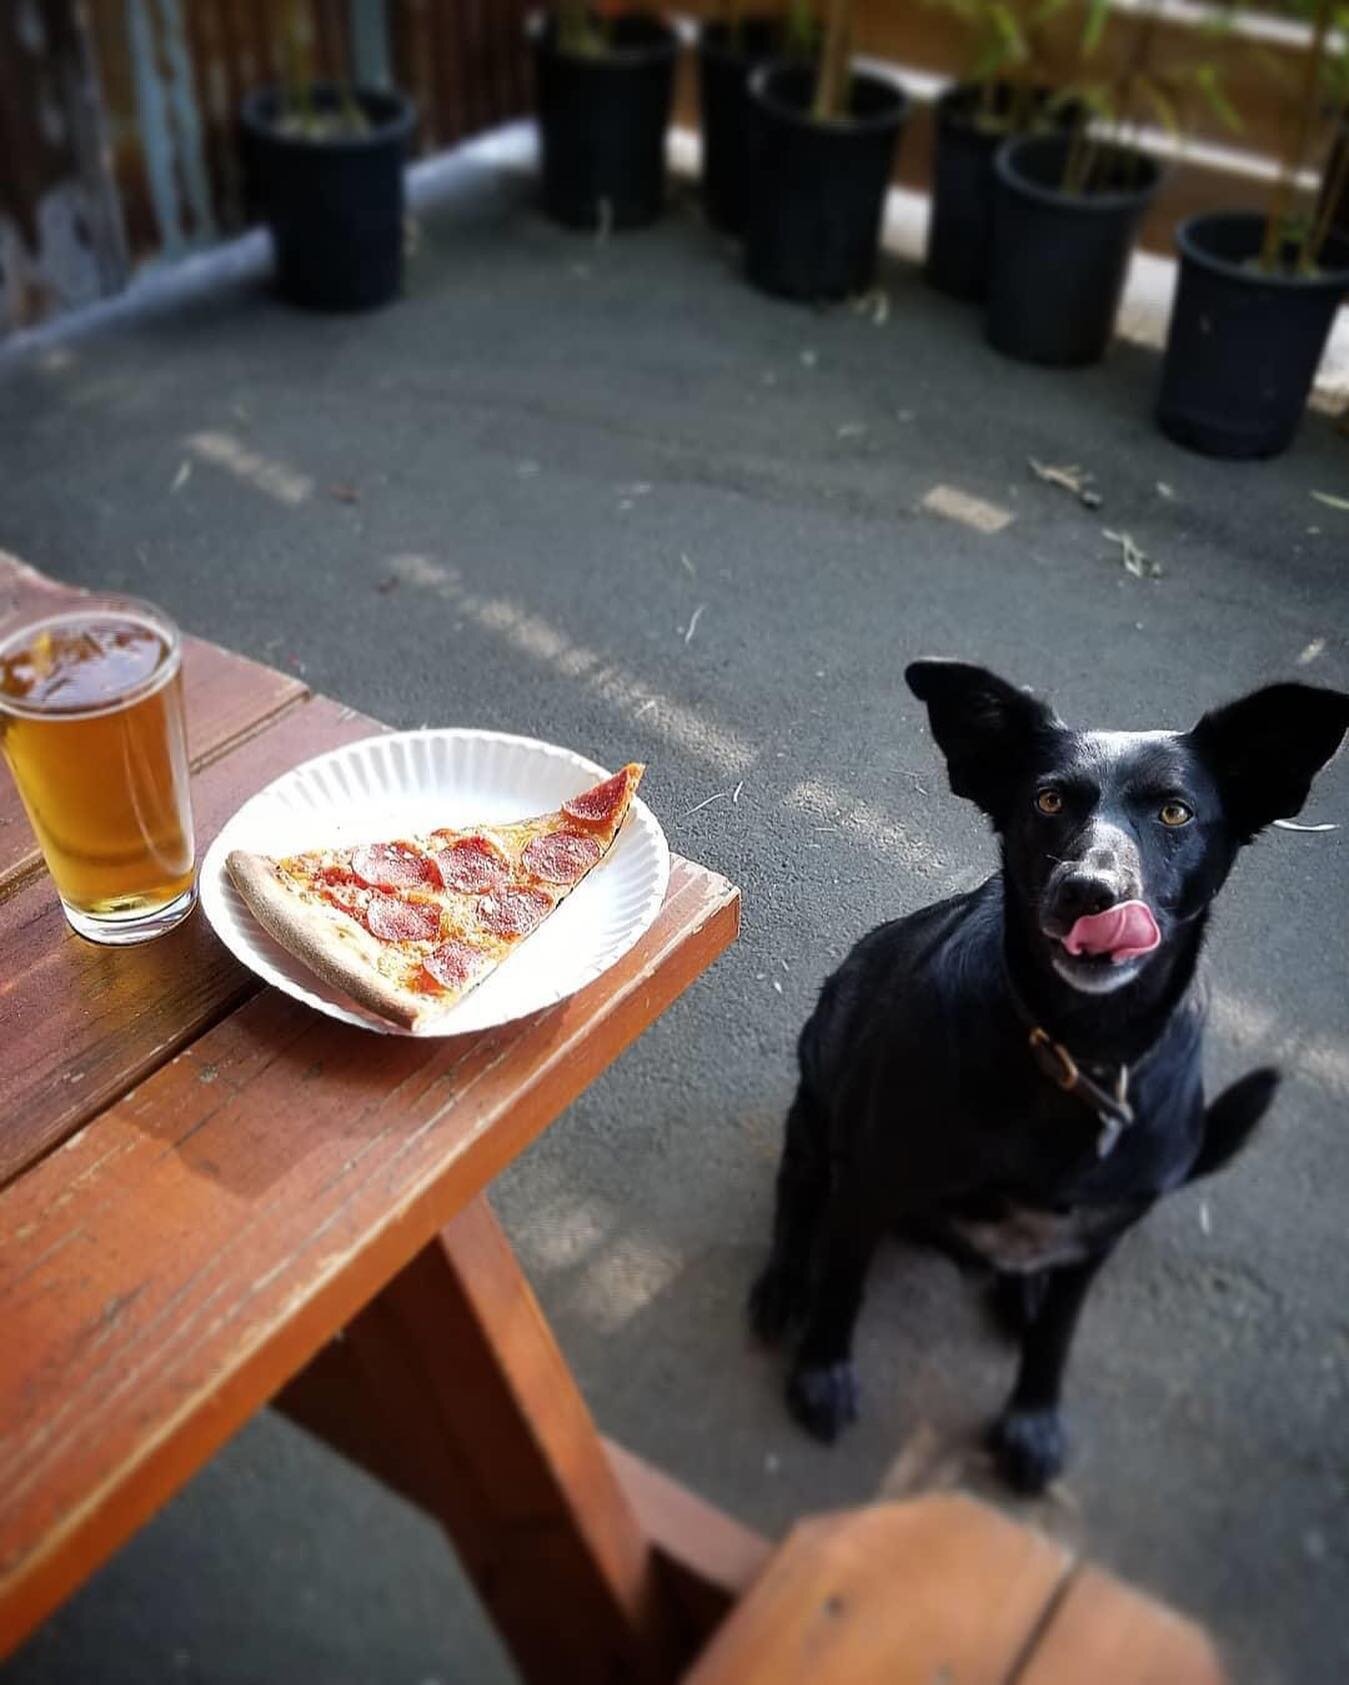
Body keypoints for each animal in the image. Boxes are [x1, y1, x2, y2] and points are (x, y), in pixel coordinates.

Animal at [751, 663, 1340, 1496]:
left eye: (1174, 810)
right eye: (1048, 800)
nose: (1089, 891)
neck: (1077, 1052)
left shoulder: (1096, 1240)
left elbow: (1056, 1339)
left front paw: (1032, 1419)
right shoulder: (871, 1180)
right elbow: (842, 1284)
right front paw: (822, 1370)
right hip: (819, 1081)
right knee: (800, 1187)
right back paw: (784, 1282)